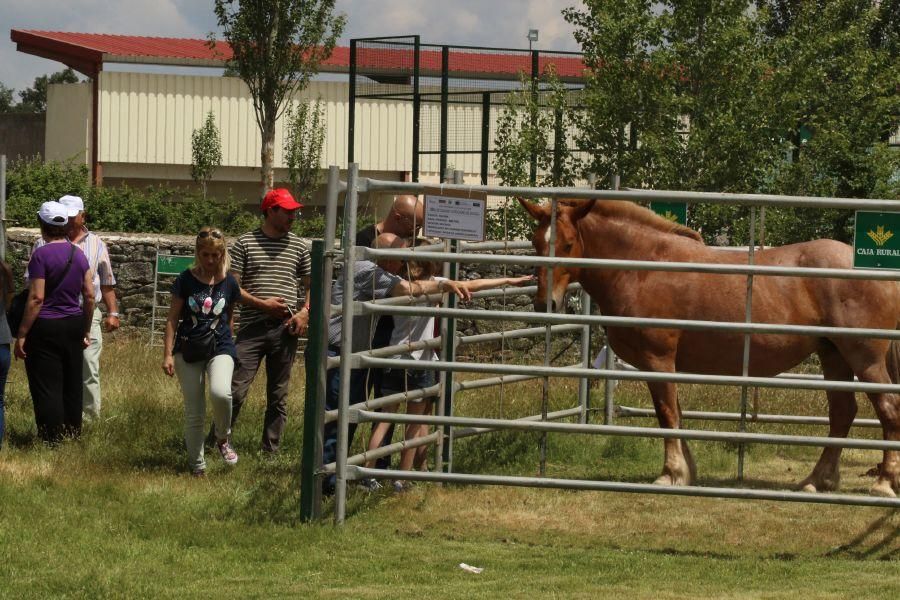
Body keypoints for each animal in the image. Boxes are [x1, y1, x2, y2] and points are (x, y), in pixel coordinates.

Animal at [516, 197, 900, 496]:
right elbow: (677, 413)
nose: (545, 304)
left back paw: (883, 483)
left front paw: (670, 473)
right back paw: (817, 481)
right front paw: (686, 471)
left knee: (888, 409)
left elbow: (666, 413)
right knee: (842, 413)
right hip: (833, 355)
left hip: (863, 358)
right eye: (536, 243)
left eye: (567, 244)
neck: (642, 267)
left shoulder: (658, 360)